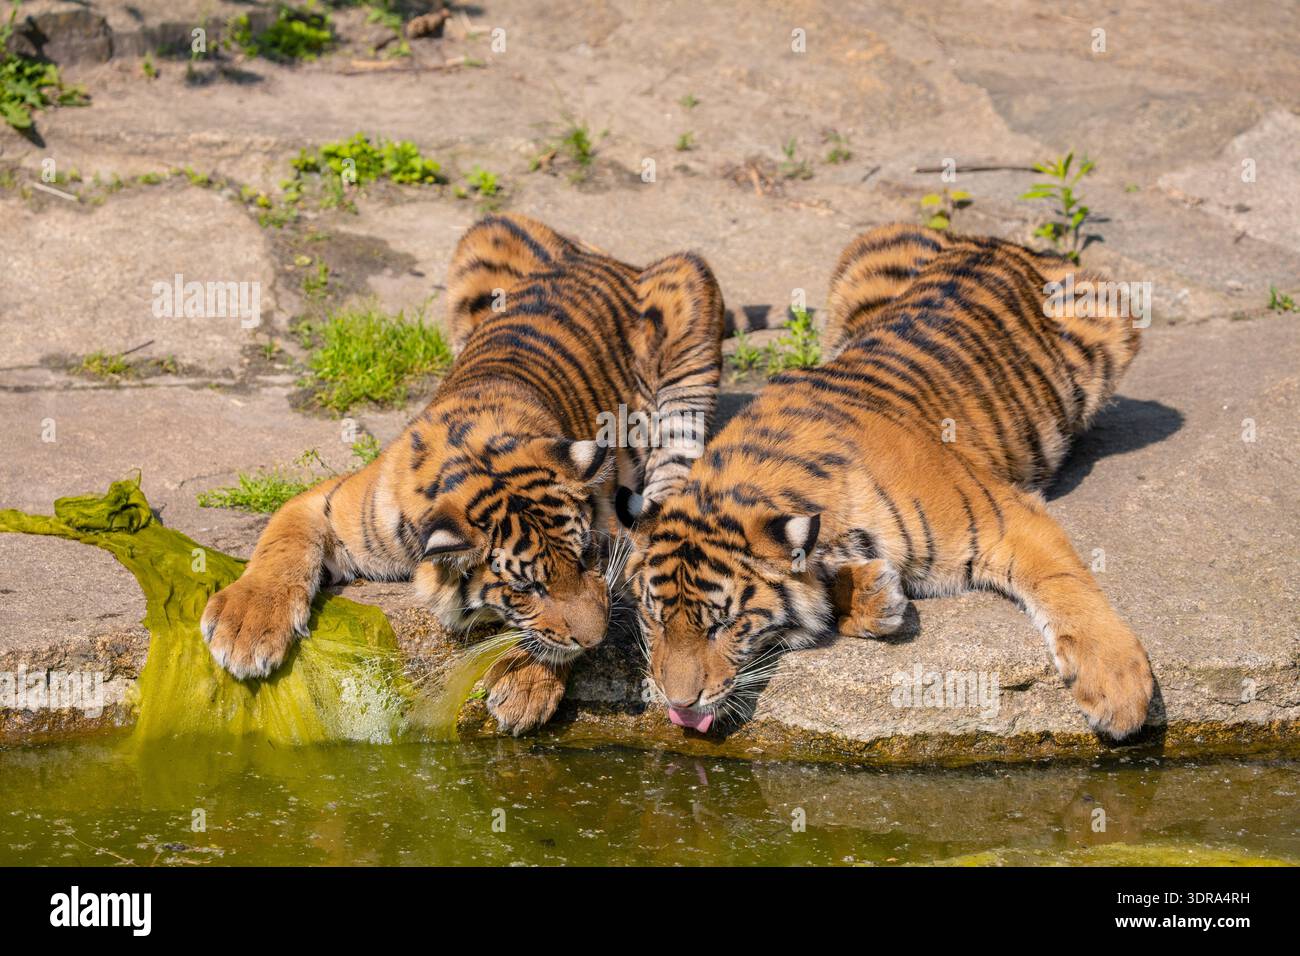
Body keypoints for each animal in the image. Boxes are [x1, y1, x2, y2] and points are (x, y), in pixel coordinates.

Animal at [201, 213, 724, 735]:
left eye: (585, 558)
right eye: (526, 588)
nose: (595, 643)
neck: (476, 457)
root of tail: (601, 257)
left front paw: (525, 689)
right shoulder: (328, 502)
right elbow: (282, 547)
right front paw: (247, 629)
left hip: (691, 291)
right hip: (486, 234)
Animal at [616, 223, 1154, 740]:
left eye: (723, 625)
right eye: (656, 619)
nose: (679, 705)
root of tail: (993, 240)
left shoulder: (1006, 517)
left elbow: (1067, 586)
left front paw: (1118, 691)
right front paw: (875, 597)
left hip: (1115, 310)